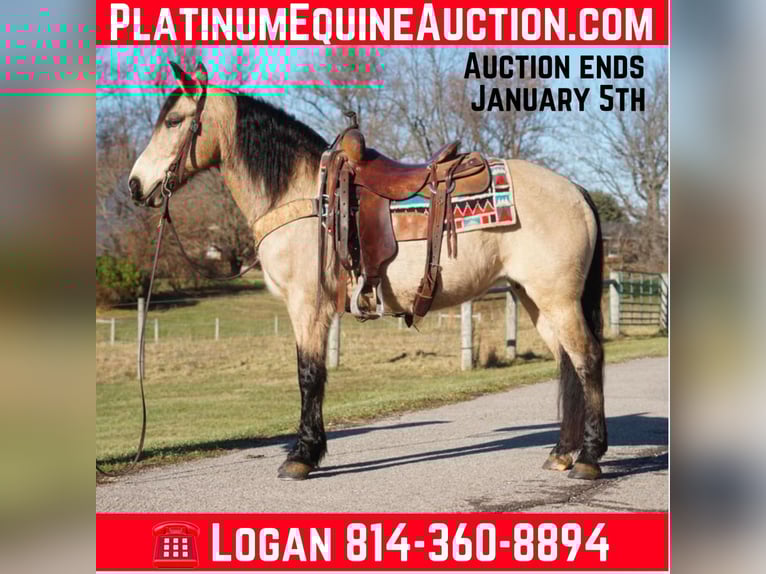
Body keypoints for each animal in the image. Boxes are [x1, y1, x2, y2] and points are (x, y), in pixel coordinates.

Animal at [128, 62, 607, 481]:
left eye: (174, 121)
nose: (135, 185)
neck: (303, 196)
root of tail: (575, 189)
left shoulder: (308, 306)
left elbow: (309, 376)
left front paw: (301, 456)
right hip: (534, 299)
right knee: (566, 363)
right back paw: (562, 453)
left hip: (558, 300)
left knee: (587, 359)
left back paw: (588, 457)